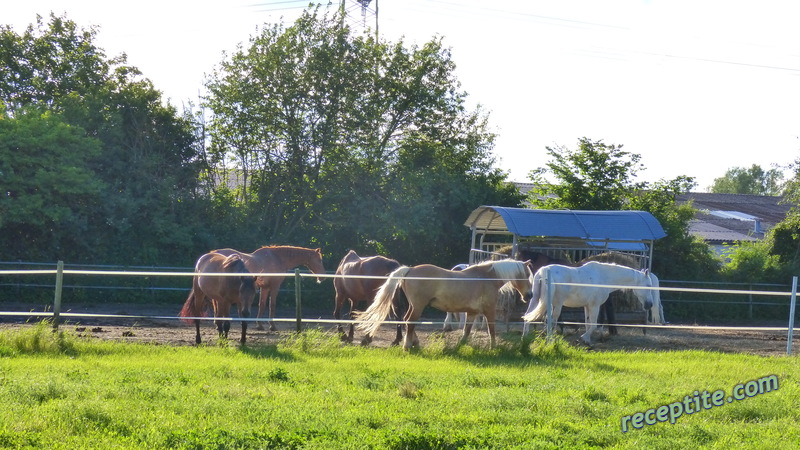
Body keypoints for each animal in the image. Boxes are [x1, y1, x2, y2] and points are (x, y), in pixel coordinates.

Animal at [354, 258, 532, 350]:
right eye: (526, 275)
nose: (529, 295)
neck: (486, 278)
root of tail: (410, 269)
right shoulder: (489, 311)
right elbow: (492, 330)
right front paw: (492, 348)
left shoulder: (472, 313)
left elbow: (466, 331)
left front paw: (460, 346)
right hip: (418, 306)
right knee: (410, 321)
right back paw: (407, 346)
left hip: (414, 305)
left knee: (406, 321)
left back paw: (414, 343)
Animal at [520, 260, 656, 344]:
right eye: (648, 286)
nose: (649, 305)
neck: (603, 277)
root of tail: (543, 271)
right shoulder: (594, 306)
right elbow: (594, 325)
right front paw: (584, 337)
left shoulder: (587, 306)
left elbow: (587, 323)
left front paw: (587, 342)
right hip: (556, 305)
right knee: (551, 321)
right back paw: (550, 339)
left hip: (536, 300)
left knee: (528, 317)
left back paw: (525, 338)